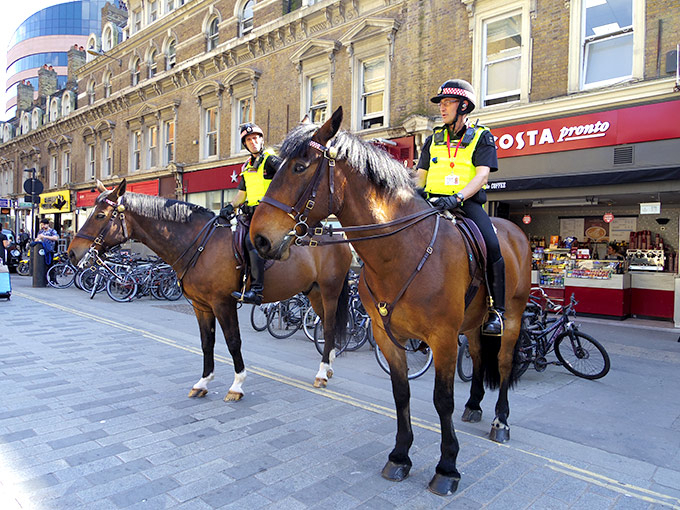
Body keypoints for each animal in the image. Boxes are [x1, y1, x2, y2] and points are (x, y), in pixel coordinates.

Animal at [248, 107, 532, 494]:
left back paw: (501, 421)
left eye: (300, 167)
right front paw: (400, 456)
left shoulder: (443, 338)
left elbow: (442, 399)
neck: (402, 249)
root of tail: (514, 229)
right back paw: (474, 405)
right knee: (476, 355)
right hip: (471, 323)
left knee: (502, 364)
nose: (259, 239)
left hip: (512, 315)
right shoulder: (387, 336)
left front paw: (447, 466)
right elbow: (401, 394)